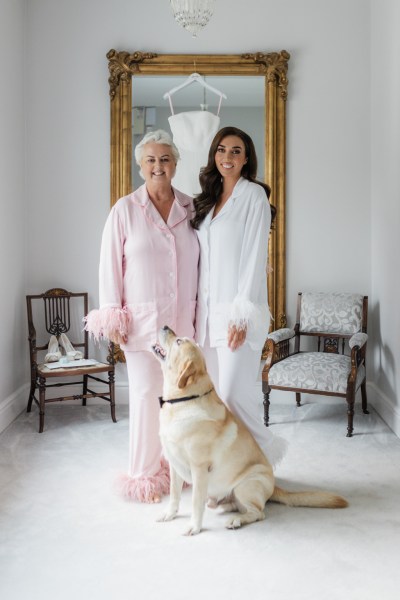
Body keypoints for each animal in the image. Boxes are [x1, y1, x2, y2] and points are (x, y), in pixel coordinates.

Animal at [153, 326, 346, 536]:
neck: (185, 400)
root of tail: (274, 486)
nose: (165, 327)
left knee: (258, 513)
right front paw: (169, 513)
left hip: (245, 485)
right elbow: (174, 494)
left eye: (179, 341)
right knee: (233, 506)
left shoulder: (200, 468)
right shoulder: (174, 464)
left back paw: (236, 521)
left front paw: (194, 527)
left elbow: (196, 502)